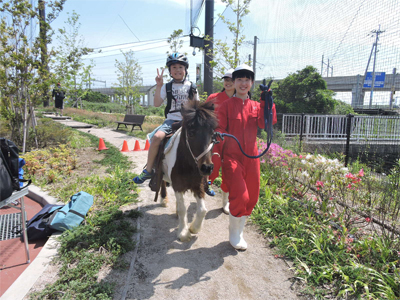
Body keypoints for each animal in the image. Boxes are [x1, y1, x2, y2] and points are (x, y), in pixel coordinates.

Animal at [157, 101, 219, 241]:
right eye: (191, 133)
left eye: (212, 134)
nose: (207, 168)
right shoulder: (178, 185)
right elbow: (183, 208)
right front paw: (183, 233)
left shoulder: (198, 185)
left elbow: (202, 210)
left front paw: (193, 228)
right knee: (162, 182)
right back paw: (163, 199)